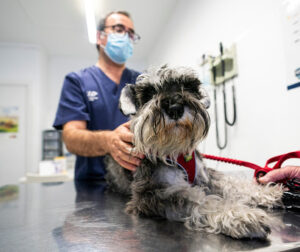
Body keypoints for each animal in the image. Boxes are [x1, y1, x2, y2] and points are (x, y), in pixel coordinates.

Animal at [105, 64, 284, 238]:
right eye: (149, 92)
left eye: (189, 86)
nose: (175, 108)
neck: (176, 150)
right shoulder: (151, 194)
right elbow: (199, 199)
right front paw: (242, 216)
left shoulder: (206, 176)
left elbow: (231, 183)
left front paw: (266, 192)